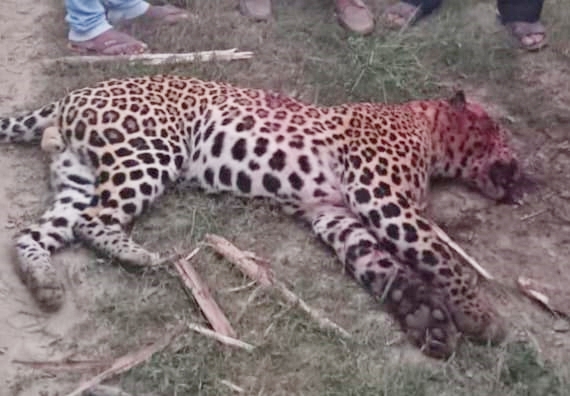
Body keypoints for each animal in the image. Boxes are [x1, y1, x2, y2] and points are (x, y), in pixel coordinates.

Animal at [0, 74, 520, 358]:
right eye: (499, 133)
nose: (524, 170)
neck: (424, 126)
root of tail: (71, 95)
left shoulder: (332, 213)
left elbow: (381, 265)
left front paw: (425, 318)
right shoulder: (380, 194)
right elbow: (438, 254)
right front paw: (479, 316)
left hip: (77, 177)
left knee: (35, 232)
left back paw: (44, 282)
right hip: (149, 151)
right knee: (95, 220)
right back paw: (142, 258)